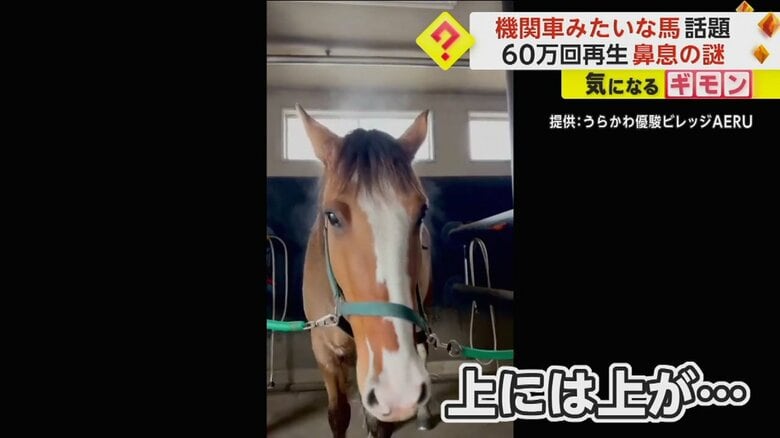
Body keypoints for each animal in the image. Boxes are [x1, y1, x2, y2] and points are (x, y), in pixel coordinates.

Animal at [297, 104, 434, 437]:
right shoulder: (324, 353)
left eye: (421, 212)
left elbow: (378, 424)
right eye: (331, 216)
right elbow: (338, 414)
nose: (399, 389)